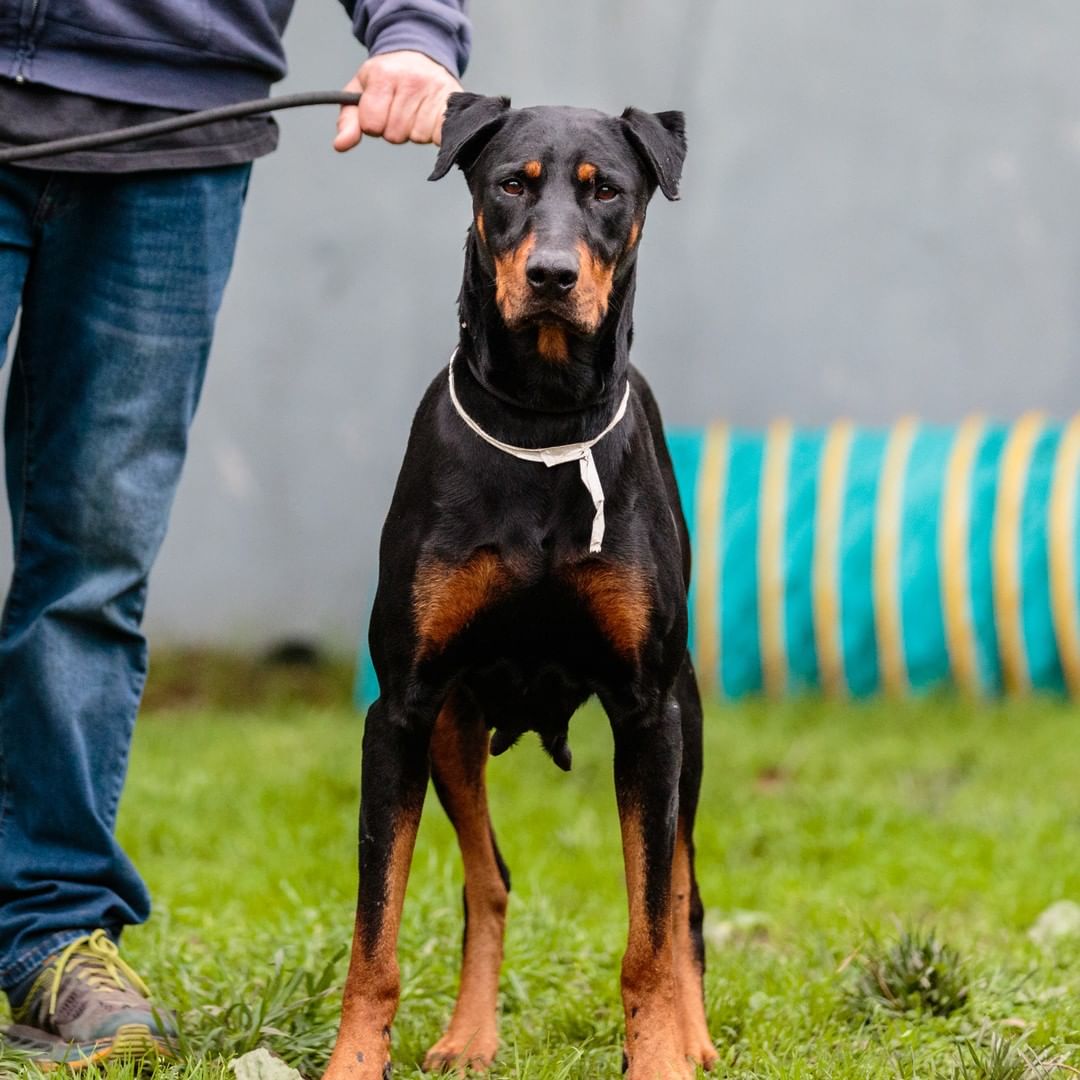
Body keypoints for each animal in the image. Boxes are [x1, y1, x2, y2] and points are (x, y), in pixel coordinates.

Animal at [324, 95, 721, 1080]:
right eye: (511, 184)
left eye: (607, 191)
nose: (550, 275)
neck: (542, 423)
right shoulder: (402, 710)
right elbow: (374, 935)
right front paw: (355, 1061)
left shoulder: (648, 713)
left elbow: (649, 929)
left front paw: (660, 1055)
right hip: (454, 726)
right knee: (488, 879)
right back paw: (472, 1035)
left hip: (688, 723)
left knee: (684, 892)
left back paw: (695, 1037)